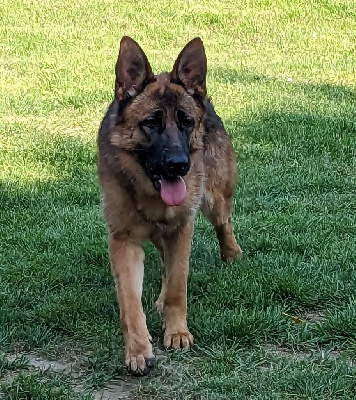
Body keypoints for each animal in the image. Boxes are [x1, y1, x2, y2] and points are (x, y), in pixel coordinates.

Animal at [97, 36, 242, 376]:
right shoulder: (123, 242)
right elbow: (130, 303)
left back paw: (232, 254)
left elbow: (178, 284)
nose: (179, 165)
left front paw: (177, 333)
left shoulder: (182, 228)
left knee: (223, 223)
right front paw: (139, 351)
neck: (148, 192)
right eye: (151, 123)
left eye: (186, 122)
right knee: (164, 259)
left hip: (214, 199)